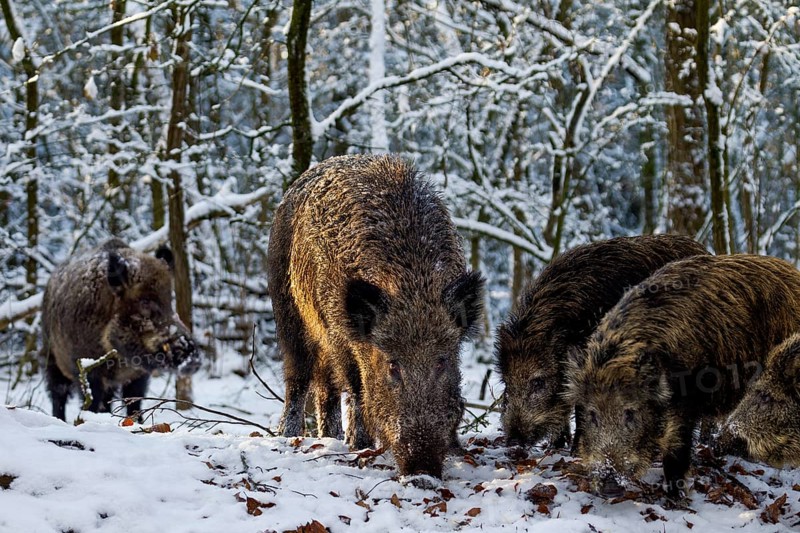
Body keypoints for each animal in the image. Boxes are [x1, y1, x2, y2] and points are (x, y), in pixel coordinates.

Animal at [41, 239, 201, 421]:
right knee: (58, 392)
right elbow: (92, 401)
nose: (194, 359)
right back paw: (58, 418)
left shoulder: (137, 375)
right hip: (52, 358)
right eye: (145, 301)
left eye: (170, 299)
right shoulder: (85, 367)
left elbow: (134, 402)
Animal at [268, 154, 484, 479]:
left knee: (325, 387)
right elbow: (357, 387)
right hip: (287, 309)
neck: (412, 284)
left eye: (442, 361)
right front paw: (361, 445)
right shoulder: (340, 334)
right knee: (299, 376)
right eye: (393, 365)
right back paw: (289, 435)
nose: (422, 467)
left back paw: (330, 438)